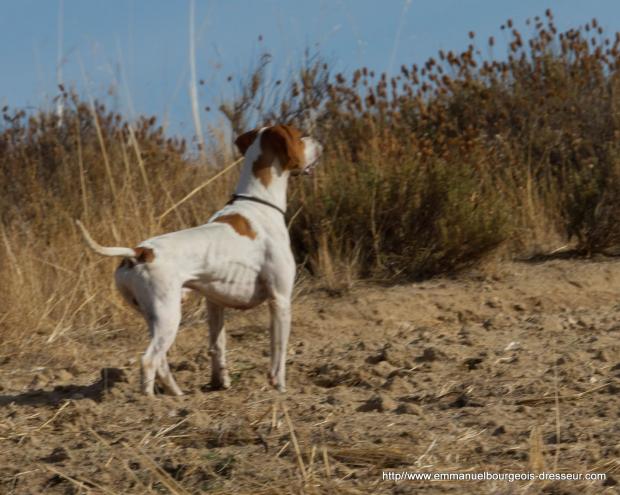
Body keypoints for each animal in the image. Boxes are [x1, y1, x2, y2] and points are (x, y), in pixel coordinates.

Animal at [75, 126, 322, 398]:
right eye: (300, 136)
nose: (317, 139)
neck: (258, 203)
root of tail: (139, 252)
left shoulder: (215, 303)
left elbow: (217, 346)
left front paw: (220, 383)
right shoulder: (280, 300)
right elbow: (278, 352)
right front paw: (280, 389)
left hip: (155, 317)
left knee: (161, 361)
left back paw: (177, 396)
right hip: (169, 316)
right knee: (149, 360)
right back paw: (149, 401)